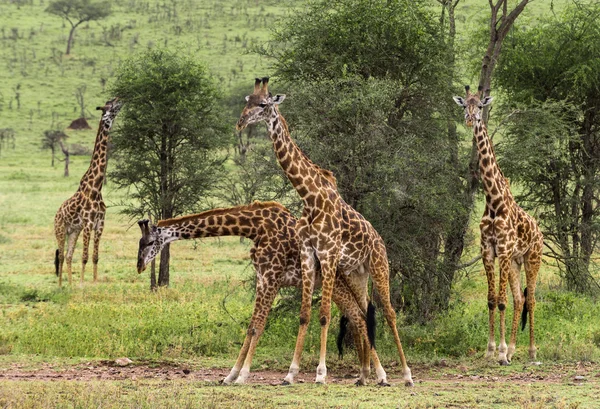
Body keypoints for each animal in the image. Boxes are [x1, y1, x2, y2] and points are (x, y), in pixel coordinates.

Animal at [54, 97, 123, 286]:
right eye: (110, 105)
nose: (120, 99)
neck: (96, 187)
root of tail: (56, 213)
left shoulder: (100, 224)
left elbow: (95, 257)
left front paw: (94, 282)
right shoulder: (88, 223)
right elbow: (84, 257)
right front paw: (82, 284)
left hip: (73, 231)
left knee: (69, 256)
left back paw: (69, 285)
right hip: (60, 230)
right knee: (61, 256)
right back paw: (61, 285)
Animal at [135, 202, 390, 386]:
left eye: (148, 242)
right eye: (139, 241)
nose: (139, 266)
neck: (254, 227)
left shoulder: (271, 277)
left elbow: (257, 326)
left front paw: (242, 375)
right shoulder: (261, 278)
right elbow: (250, 327)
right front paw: (230, 375)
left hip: (341, 282)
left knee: (361, 317)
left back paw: (379, 375)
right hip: (344, 284)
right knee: (359, 317)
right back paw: (365, 375)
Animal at [234, 77, 412, 386]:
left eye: (264, 104)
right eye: (247, 100)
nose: (241, 122)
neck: (310, 196)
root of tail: (379, 240)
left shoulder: (328, 253)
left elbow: (325, 314)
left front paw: (320, 373)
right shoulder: (308, 253)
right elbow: (305, 314)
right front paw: (290, 374)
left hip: (379, 266)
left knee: (389, 313)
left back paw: (405, 374)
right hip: (356, 274)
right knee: (363, 312)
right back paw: (367, 375)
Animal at [454, 84, 544, 362]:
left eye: (480, 106)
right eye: (464, 105)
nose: (469, 119)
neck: (493, 201)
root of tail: (540, 232)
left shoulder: (502, 250)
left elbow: (501, 300)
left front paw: (501, 352)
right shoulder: (488, 251)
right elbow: (492, 300)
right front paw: (491, 350)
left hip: (532, 258)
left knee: (531, 299)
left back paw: (531, 351)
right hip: (515, 262)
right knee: (519, 299)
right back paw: (514, 349)